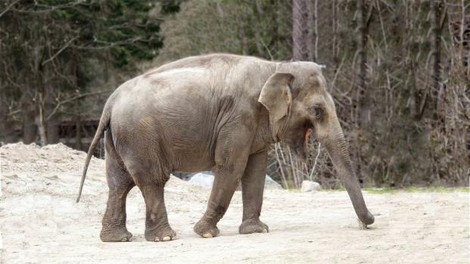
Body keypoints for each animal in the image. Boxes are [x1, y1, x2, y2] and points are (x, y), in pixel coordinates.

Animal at [76, 53, 374, 241]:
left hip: (120, 137)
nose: (368, 222)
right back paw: (165, 237)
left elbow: (255, 170)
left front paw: (256, 231)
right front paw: (205, 232)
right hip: (139, 134)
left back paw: (119, 239)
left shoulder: (254, 124)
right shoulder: (239, 116)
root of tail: (110, 102)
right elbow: (232, 165)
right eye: (317, 111)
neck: (275, 67)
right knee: (151, 180)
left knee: (119, 184)